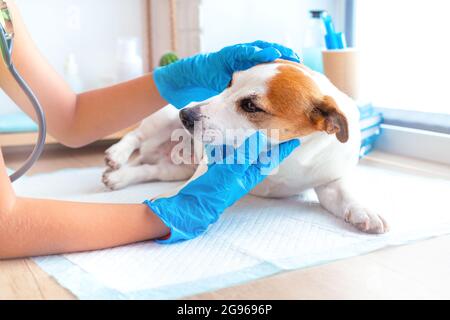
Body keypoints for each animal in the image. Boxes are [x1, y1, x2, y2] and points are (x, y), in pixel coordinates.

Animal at [103, 60, 388, 235]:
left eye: (251, 106)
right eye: (229, 83)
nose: (186, 115)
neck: (289, 157)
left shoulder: (330, 182)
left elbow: (345, 195)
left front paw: (364, 210)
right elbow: (195, 185)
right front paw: (174, 203)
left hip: (172, 168)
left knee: (148, 169)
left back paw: (120, 176)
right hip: (162, 118)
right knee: (136, 136)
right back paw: (117, 155)